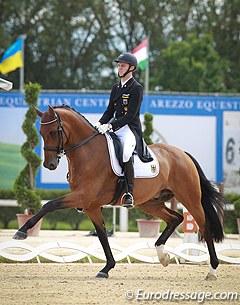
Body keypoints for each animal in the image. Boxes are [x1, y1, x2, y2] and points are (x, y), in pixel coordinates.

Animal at [13, 103, 227, 280]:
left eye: (53, 132)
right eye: (41, 132)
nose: (49, 165)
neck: (87, 152)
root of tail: (183, 154)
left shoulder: (83, 197)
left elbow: (49, 204)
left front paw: (21, 232)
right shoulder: (90, 205)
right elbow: (102, 236)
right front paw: (107, 268)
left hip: (190, 198)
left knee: (204, 226)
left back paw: (212, 271)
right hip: (150, 203)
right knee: (175, 218)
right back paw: (162, 255)